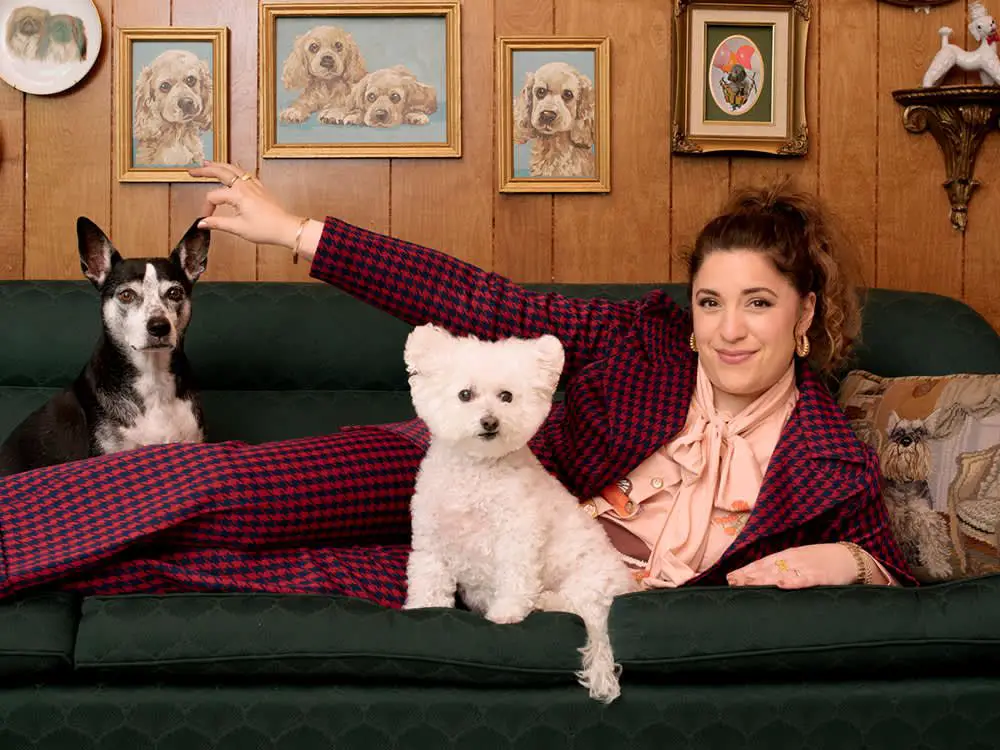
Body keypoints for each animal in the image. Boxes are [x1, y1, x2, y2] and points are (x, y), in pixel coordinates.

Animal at [402, 324, 636, 704]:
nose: (490, 421)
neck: (477, 471)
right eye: (465, 394)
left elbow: (515, 577)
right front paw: (423, 607)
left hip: (589, 585)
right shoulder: (432, 543)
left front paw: (507, 613)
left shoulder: (517, 536)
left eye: (506, 396)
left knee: (577, 604)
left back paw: (544, 602)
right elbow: (429, 582)